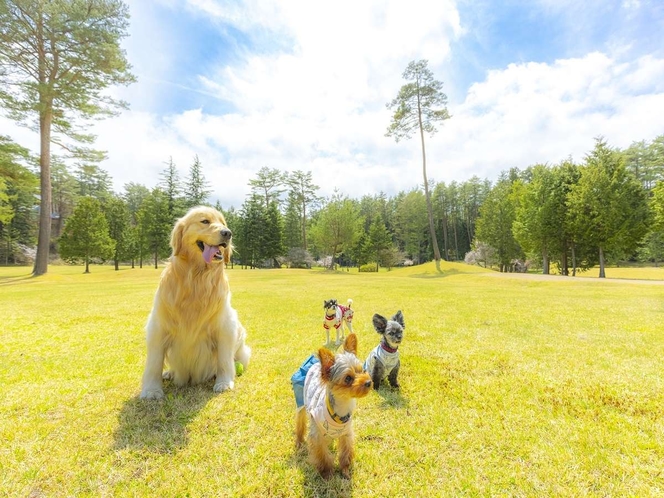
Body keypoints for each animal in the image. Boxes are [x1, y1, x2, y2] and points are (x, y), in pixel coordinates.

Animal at [139, 204, 250, 398]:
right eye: (205, 221)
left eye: (223, 223)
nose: (227, 233)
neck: (197, 278)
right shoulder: (157, 326)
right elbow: (154, 362)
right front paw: (152, 390)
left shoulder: (225, 326)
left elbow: (224, 360)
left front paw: (224, 382)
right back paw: (169, 373)